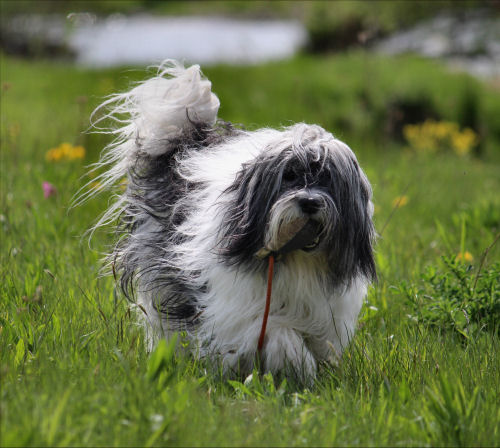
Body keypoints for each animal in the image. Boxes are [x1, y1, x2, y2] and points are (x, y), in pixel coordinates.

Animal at [87, 61, 376, 384]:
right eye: (288, 176)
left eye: (326, 178)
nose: (310, 202)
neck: (299, 260)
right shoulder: (239, 309)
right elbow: (278, 331)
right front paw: (296, 364)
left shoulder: (325, 312)